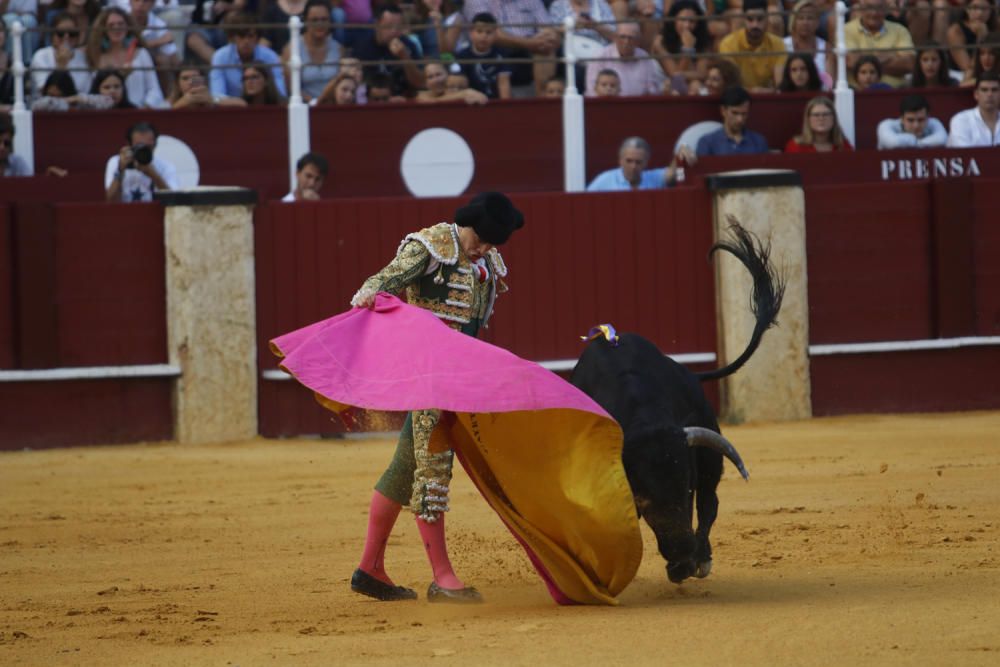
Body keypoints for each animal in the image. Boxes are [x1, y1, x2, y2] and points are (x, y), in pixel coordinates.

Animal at [572, 223, 780, 584]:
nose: (682, 556)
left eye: (686, 487)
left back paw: (702, 558)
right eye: (641, 497)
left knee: (711, 504)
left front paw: (695, 561)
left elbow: (706, 506)